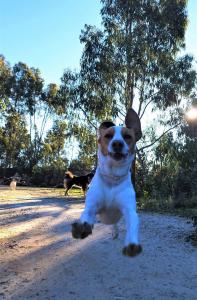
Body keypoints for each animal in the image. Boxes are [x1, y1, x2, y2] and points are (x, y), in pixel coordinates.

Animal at [71, 109, 142, 256]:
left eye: (127, 136)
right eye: (108, 136)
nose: (117, 143)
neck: (112, 179)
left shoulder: (129, 210)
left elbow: (132, 224)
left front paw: (131, 244)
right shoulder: (92, 206)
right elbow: (86, 214)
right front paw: (82, 227)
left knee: (114, 225)